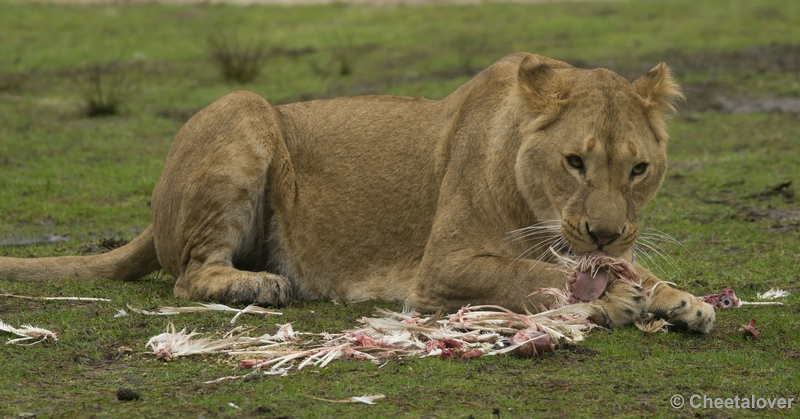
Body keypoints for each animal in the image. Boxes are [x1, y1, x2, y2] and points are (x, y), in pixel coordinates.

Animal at [0, 52, 712, 334]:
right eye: (574, 162)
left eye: (639, 169)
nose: (606, 232)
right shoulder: (442, 268)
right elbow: (529, 277)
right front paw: (612, 301)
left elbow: (633, 270)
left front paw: (684, 301)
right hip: (244, 109)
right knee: (189, 275)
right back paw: (260, 285)